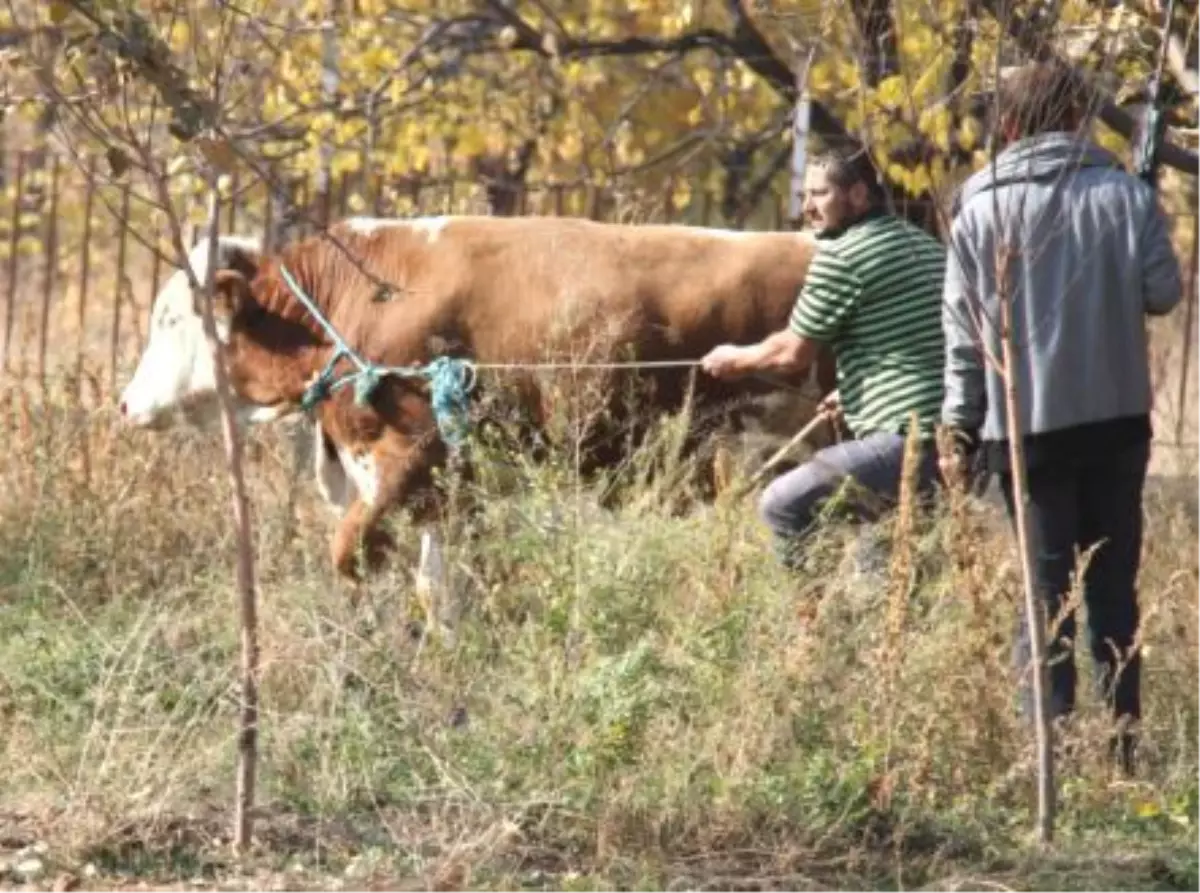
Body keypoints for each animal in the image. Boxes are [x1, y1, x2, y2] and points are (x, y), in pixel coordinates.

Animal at [119, 213, 825, 590]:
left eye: (170, 319)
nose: (126, 405)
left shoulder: (408, 458)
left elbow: (350, 554)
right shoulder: (452, 491)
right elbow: (438, 586)